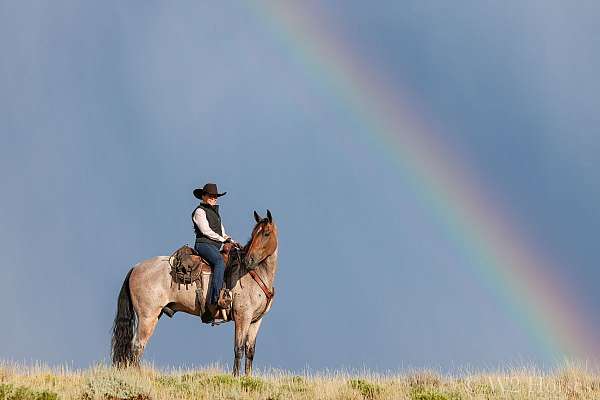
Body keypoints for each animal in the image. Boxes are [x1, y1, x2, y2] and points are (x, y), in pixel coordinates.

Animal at [110, 209, 278, 376]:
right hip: (147, 317)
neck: (252, 274)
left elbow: (250, 350)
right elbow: (239, 349)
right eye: (254, 233)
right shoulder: (242, 317)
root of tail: (136, 267)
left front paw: (247, 378)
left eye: (266, 234)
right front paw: (236, 377)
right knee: (137, 346)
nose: (249, 260)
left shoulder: (255, 320)